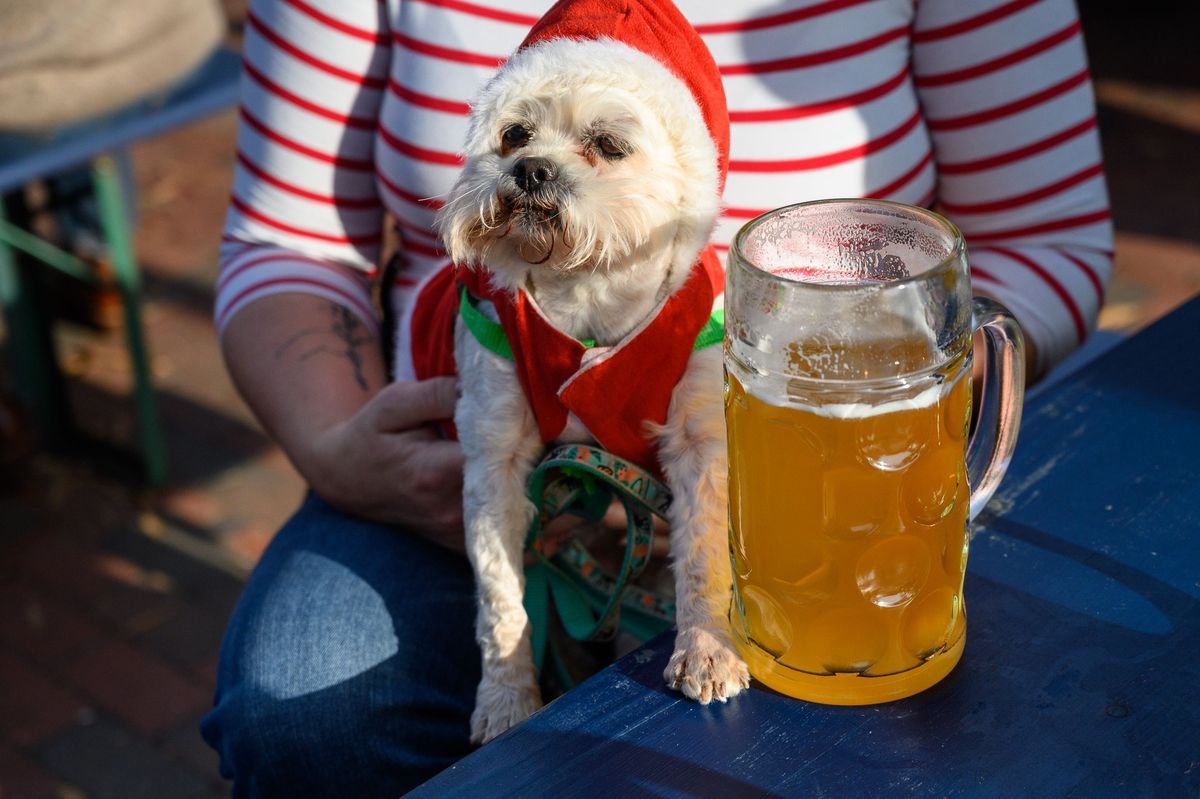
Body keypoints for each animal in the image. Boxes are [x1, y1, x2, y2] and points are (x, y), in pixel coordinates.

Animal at [432, 6, 748, 743]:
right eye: (513, 134)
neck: (586, 298)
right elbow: (500, 595)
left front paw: (707, 648)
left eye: (606, 143)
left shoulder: (701, 440)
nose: (529, 169)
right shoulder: (494, 453)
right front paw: (508, 697)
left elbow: (704, 555)